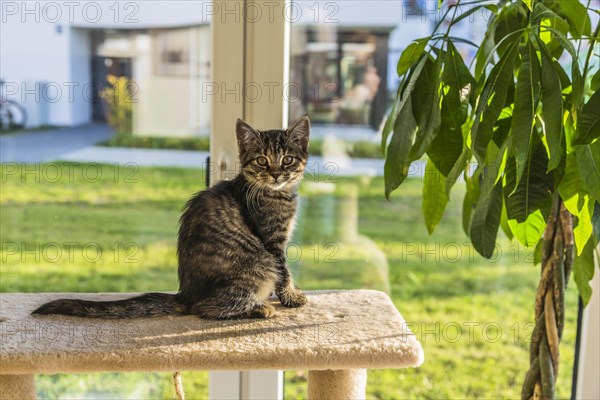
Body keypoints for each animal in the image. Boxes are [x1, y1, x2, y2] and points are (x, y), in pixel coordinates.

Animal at [33, 115, 312, 318]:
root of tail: (186, 294)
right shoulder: (272, 242)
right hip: (260, 264)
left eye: (287, 159)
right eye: (262, 161)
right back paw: (259, 308)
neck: (277, 194)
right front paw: (291, 297)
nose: (276, 174)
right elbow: (284, 271)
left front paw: (292, 293)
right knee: (205, 309)